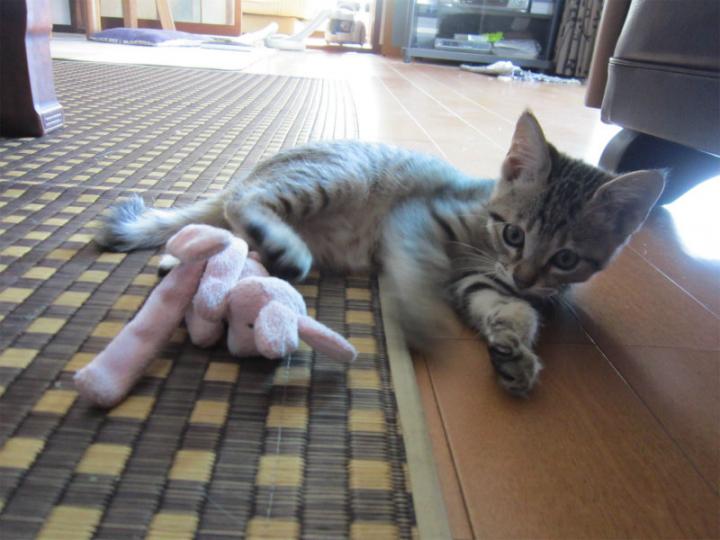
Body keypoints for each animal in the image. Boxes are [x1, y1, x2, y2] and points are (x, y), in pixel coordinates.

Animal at [95, 111, 665, 395]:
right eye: (515, 235)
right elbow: (421, 267)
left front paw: (516, 352)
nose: (525, 276)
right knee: (241, 204)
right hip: (332, 177)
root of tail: (254, 167)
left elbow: (508, 308)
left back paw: (183, 261)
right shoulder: (418, 219)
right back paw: (282, 245)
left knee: (225, 233)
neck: (483, 227)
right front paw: (419, 318)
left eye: (565, 259)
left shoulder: (478, 280)